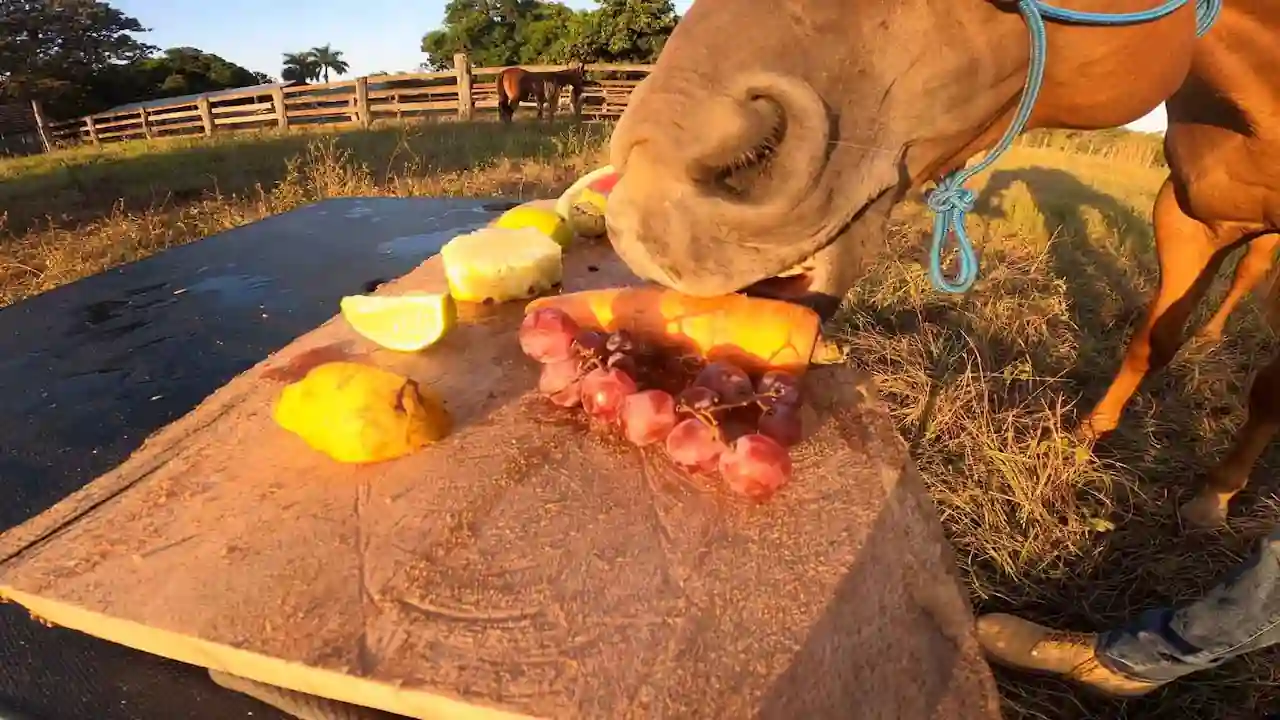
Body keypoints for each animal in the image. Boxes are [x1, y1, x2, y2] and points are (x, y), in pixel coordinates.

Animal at [602, 0, 1279, 528]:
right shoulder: (1186, 218)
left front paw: (1214, 497)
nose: (653, 179)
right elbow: (1152, 340)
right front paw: (1085, 442)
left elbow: (1264, 383)